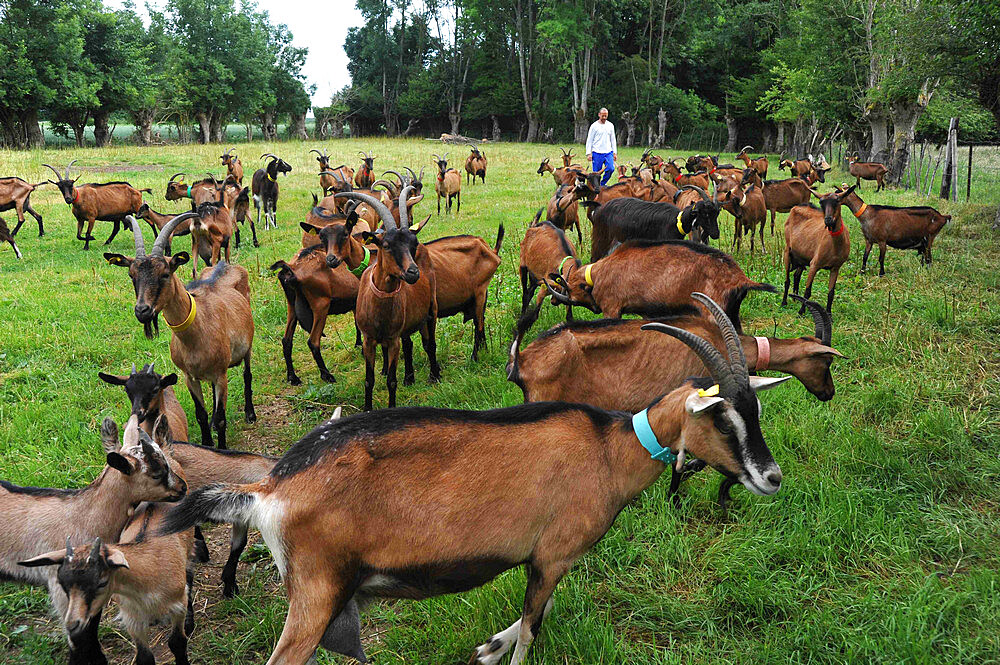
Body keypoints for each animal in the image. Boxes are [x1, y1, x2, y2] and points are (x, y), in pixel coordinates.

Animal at [102, 215, 254, 448]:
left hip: (247, 346)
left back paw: (250, 414)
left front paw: (221, 447)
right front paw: (207, 442)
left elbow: (221, 418)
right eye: (131, 275)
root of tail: (225, 265)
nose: (142, 311)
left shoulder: (221, 374)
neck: (197, 332)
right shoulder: (188, 376)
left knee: (247, 374)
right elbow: (200, 414)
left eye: (165, 274)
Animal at [162, 294, 788, 664]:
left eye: (755, 409)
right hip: (316, 595)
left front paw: (489, 645)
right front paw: (503, 650)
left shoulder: (544, 560)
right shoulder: (555, 552)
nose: (772, 477)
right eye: (721, 416)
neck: (607, 449)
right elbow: (534, 627)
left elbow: (537, 614)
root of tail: (269, 489)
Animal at [548, 240, 772, 330]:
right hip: (732, 313)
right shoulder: (647, 312)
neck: (598, 272)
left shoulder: (611, 307)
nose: (594, 308)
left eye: (573, 295)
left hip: (713, 312)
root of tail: (740, 277)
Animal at [588, 187, 724, 262]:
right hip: (601, 239)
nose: (716, 234)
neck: (677, 220)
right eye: (705, 213)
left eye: (717, 213)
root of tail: (599, 208)